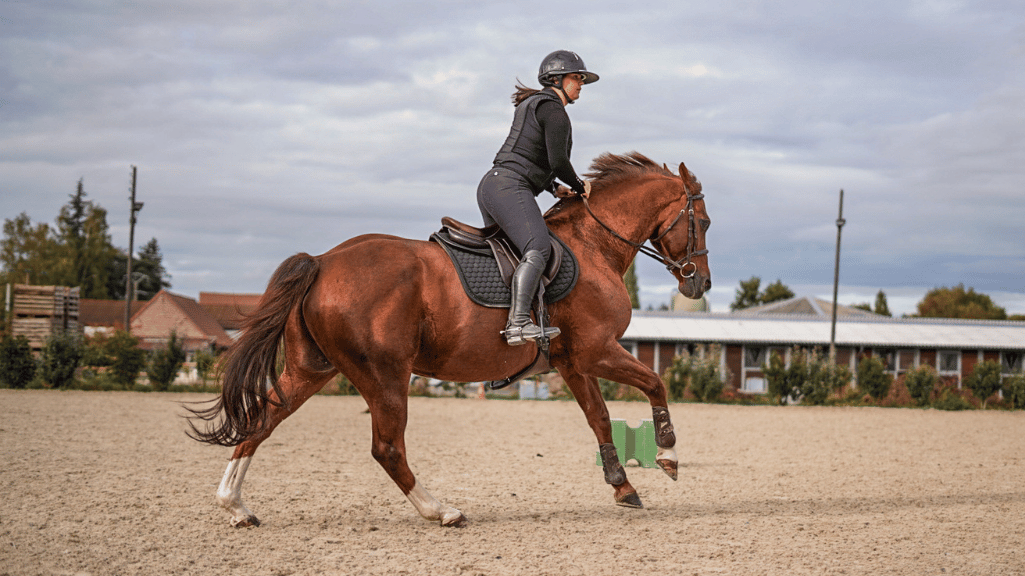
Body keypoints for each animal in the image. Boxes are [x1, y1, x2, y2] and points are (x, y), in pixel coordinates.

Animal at [187, 151, 712, 527]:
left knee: (264, 418)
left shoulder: (571, 361)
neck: (594, 244)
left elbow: (600, 419)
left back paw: (235, 506)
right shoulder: (596, 350)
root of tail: (322, 261)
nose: (700, 284)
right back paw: (442, 511)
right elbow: (656, 383)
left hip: (312, 369)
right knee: (387, 448)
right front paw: (667, 456)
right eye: (703, 223)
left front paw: (623, 486)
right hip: (385, 375)